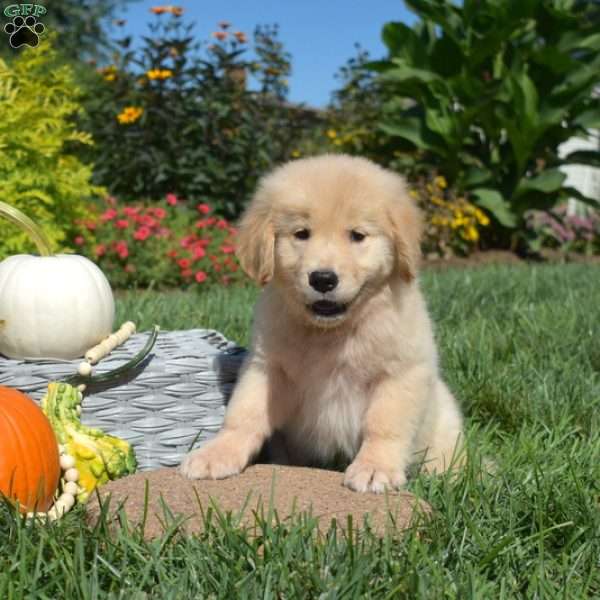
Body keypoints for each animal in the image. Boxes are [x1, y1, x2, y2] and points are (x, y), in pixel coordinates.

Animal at [180, 155, 462, 492]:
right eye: (301, 233)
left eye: (357, 235)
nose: (323, 279)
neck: (332, 332)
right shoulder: (267, 367)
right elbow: (244, 413)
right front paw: (217, 453)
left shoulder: (402, 371)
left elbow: (384, 424)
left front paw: (374, 468)